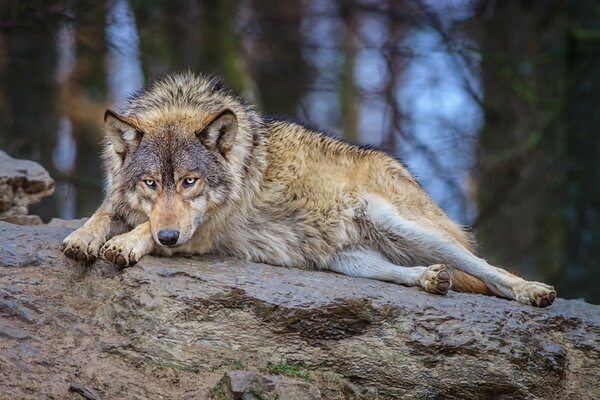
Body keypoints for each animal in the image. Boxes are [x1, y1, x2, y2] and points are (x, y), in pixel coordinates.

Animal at [61, 72, 556, 308]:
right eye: (150, 182)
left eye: (190, 181)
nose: (169, 237)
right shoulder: (124, 201)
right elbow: (104, 213)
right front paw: (83, 238)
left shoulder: (200, 235)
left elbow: (142, 229)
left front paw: (126, 244)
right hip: (347, 261)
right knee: (411, 272)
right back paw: (431, 279)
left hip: (404, 226)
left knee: (487, 269)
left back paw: (531, 291)